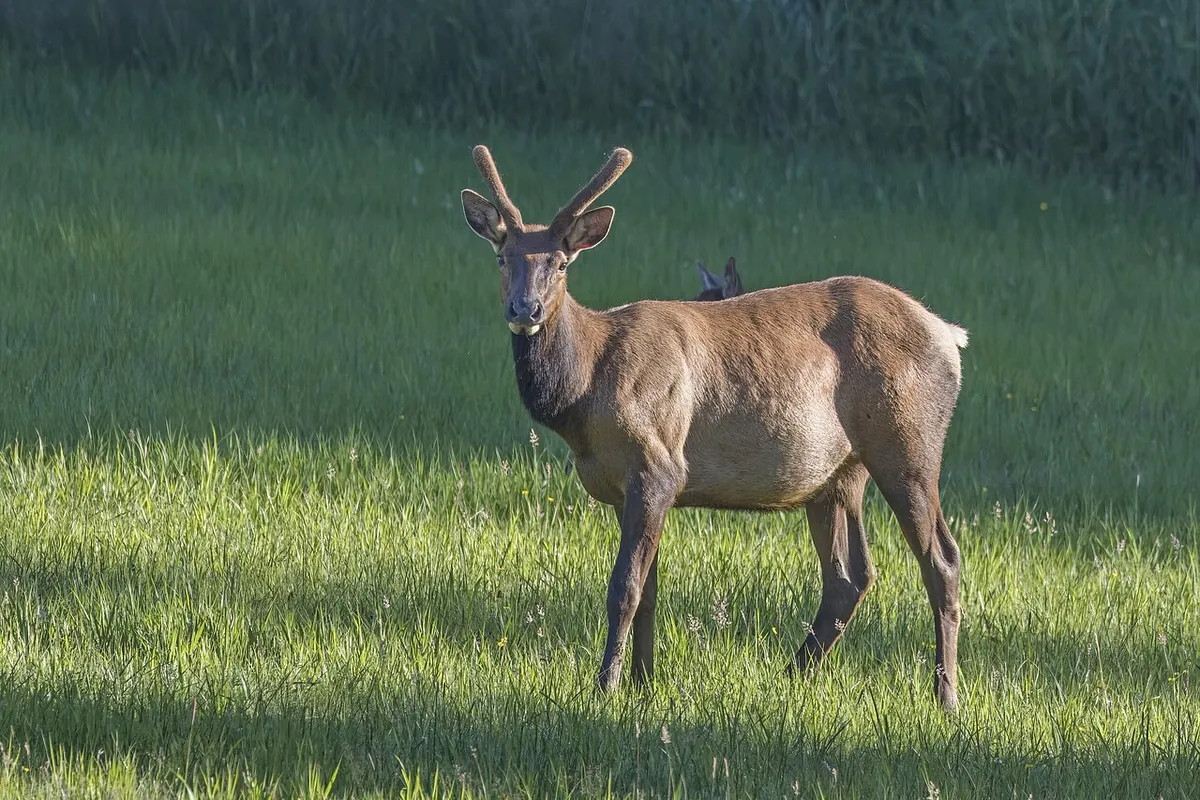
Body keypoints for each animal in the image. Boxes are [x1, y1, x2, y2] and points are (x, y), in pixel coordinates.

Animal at [460, 145, 970, 712]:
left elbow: (625, 587)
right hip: (839, 475)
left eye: (562, 262)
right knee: (850, 576)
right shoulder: (623, 485)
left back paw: (945, 695)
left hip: (909, 443)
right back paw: (792, 675)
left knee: (942, 560)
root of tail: (950, 336)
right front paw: (644, 682)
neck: (585, 394)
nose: (524, 309)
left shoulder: (659, 465)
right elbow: (648, 590)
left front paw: (605, 685)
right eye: (502, 257)